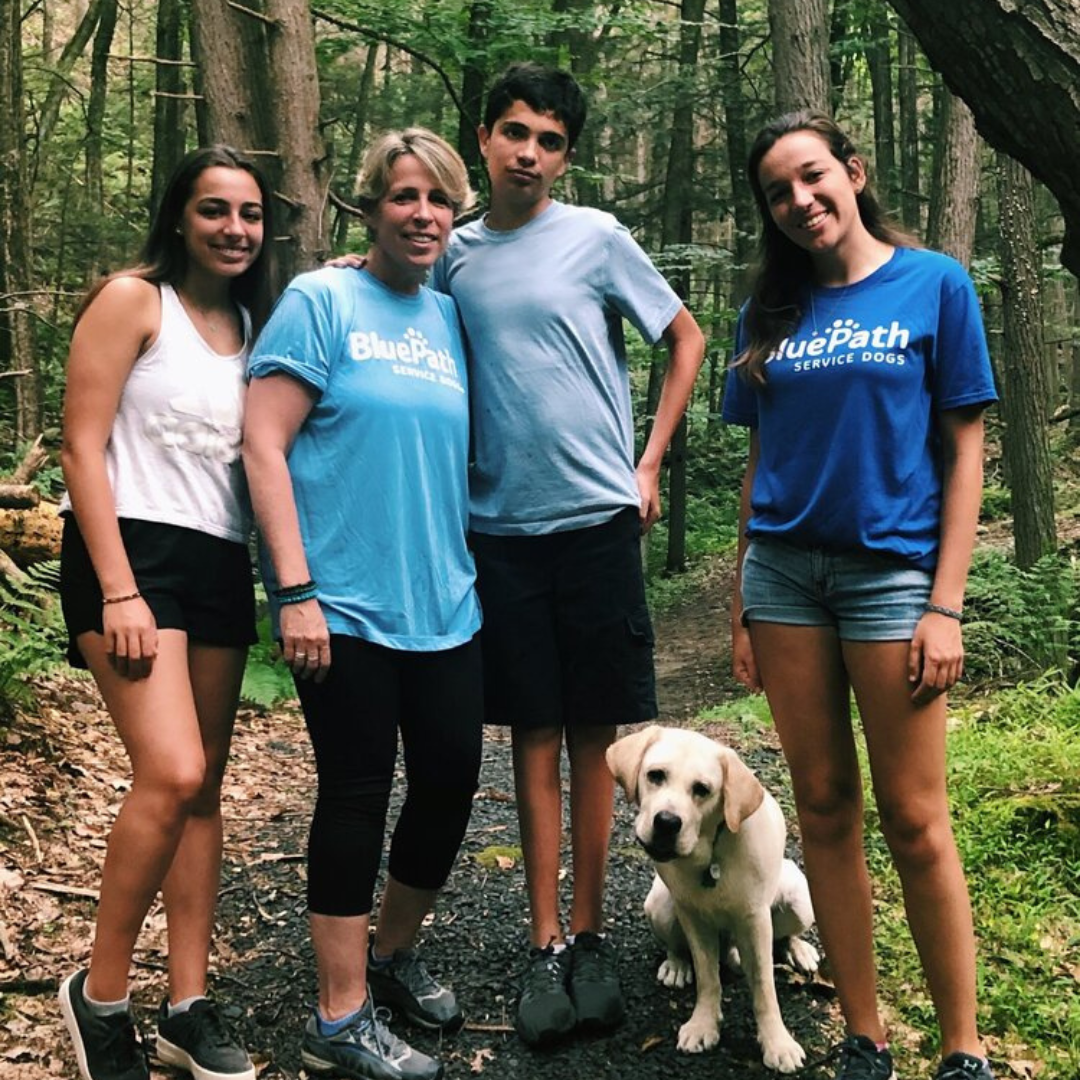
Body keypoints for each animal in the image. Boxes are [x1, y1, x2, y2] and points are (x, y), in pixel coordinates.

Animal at [609, 725, 816, 1071]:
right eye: (655, 775)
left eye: (702, 789)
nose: (667, 822)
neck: (710, 854)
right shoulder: (692, 915)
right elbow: (707, 977)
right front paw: (703, 1024)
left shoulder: (755, 919)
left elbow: (764, 989)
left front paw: (777, 1042)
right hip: (660, 904)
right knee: (678, 947)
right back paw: (676, 965)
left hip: (800, 898)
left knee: (787, 934)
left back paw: (799, 949)